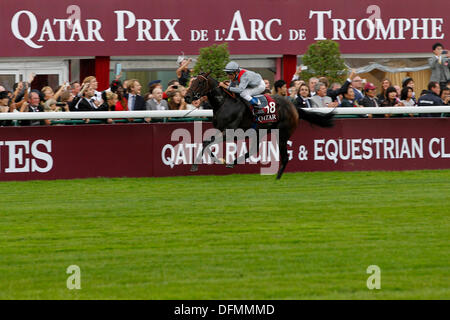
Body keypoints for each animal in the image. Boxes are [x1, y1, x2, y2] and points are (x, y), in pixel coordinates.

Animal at [184, 73, 334, 180]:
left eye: (200, 82)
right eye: (192, 81)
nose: (187, 97)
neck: (224, 103)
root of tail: (293, 106)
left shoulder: (231, 131)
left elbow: (208, 142)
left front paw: (200, 164)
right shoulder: (219, 128)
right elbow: (206, 142)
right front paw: (213, 160)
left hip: (282, 134)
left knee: (285, 157)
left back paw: (277, 178)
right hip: (260, 131)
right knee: (253, 149)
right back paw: (233, 162)